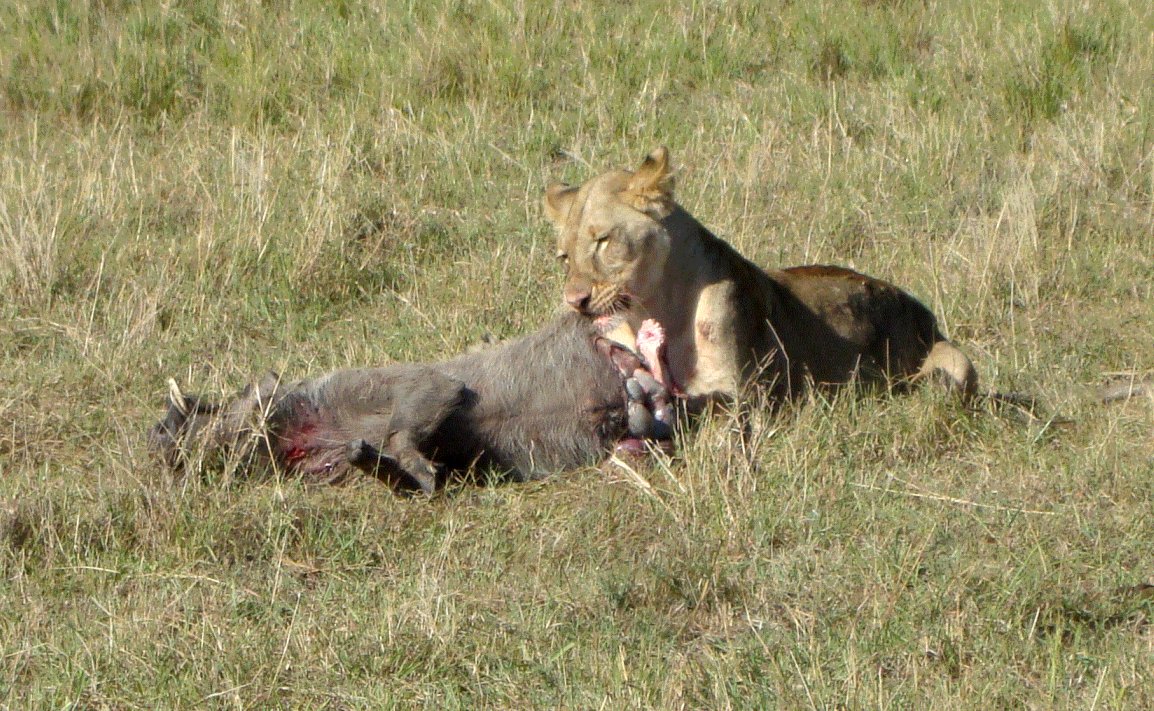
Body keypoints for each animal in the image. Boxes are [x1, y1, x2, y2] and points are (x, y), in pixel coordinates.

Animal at [543, 146, 978, 410]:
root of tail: (923, 312)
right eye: (564, 256)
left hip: (955, 363)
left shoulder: (747, 394)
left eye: (602, 241)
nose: (574, 301)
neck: (652, 308)